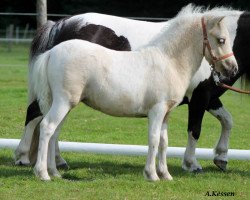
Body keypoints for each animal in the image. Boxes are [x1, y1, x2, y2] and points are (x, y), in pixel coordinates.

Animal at [14, 5, 243, 176]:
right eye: (221, 40)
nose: (232, 68)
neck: (168, 60)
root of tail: (51, 52)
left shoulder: (168, 112)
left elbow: (164, 141)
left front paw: (165, 174)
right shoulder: (164, 108)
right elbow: (156, 138)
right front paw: (155, 174)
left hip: (63, 104)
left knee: (53, 131)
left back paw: (54, 171)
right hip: (62, 102)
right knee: (45, 126)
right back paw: (40, 171)